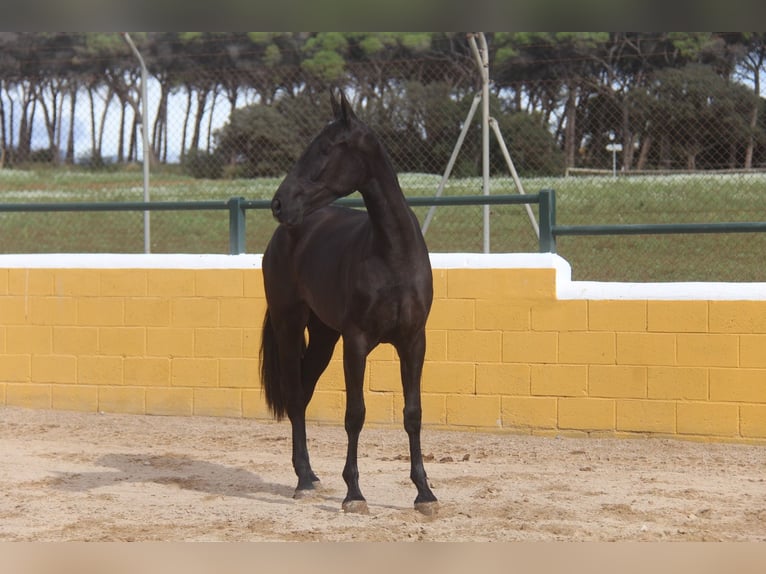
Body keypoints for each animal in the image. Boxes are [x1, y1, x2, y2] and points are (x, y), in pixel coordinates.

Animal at [260, 91, 438, 516]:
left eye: (325, 148)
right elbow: (355, 415)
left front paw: (424, 492)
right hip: (289, 326)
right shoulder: (356, 343)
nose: (279, 203)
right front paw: (354, 493)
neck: (392, 255)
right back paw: (303, 481)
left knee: (304, 392)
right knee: (295, 395)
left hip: (324, 337)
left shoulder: (414, 342)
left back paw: (309, 476)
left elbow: (413, 414)